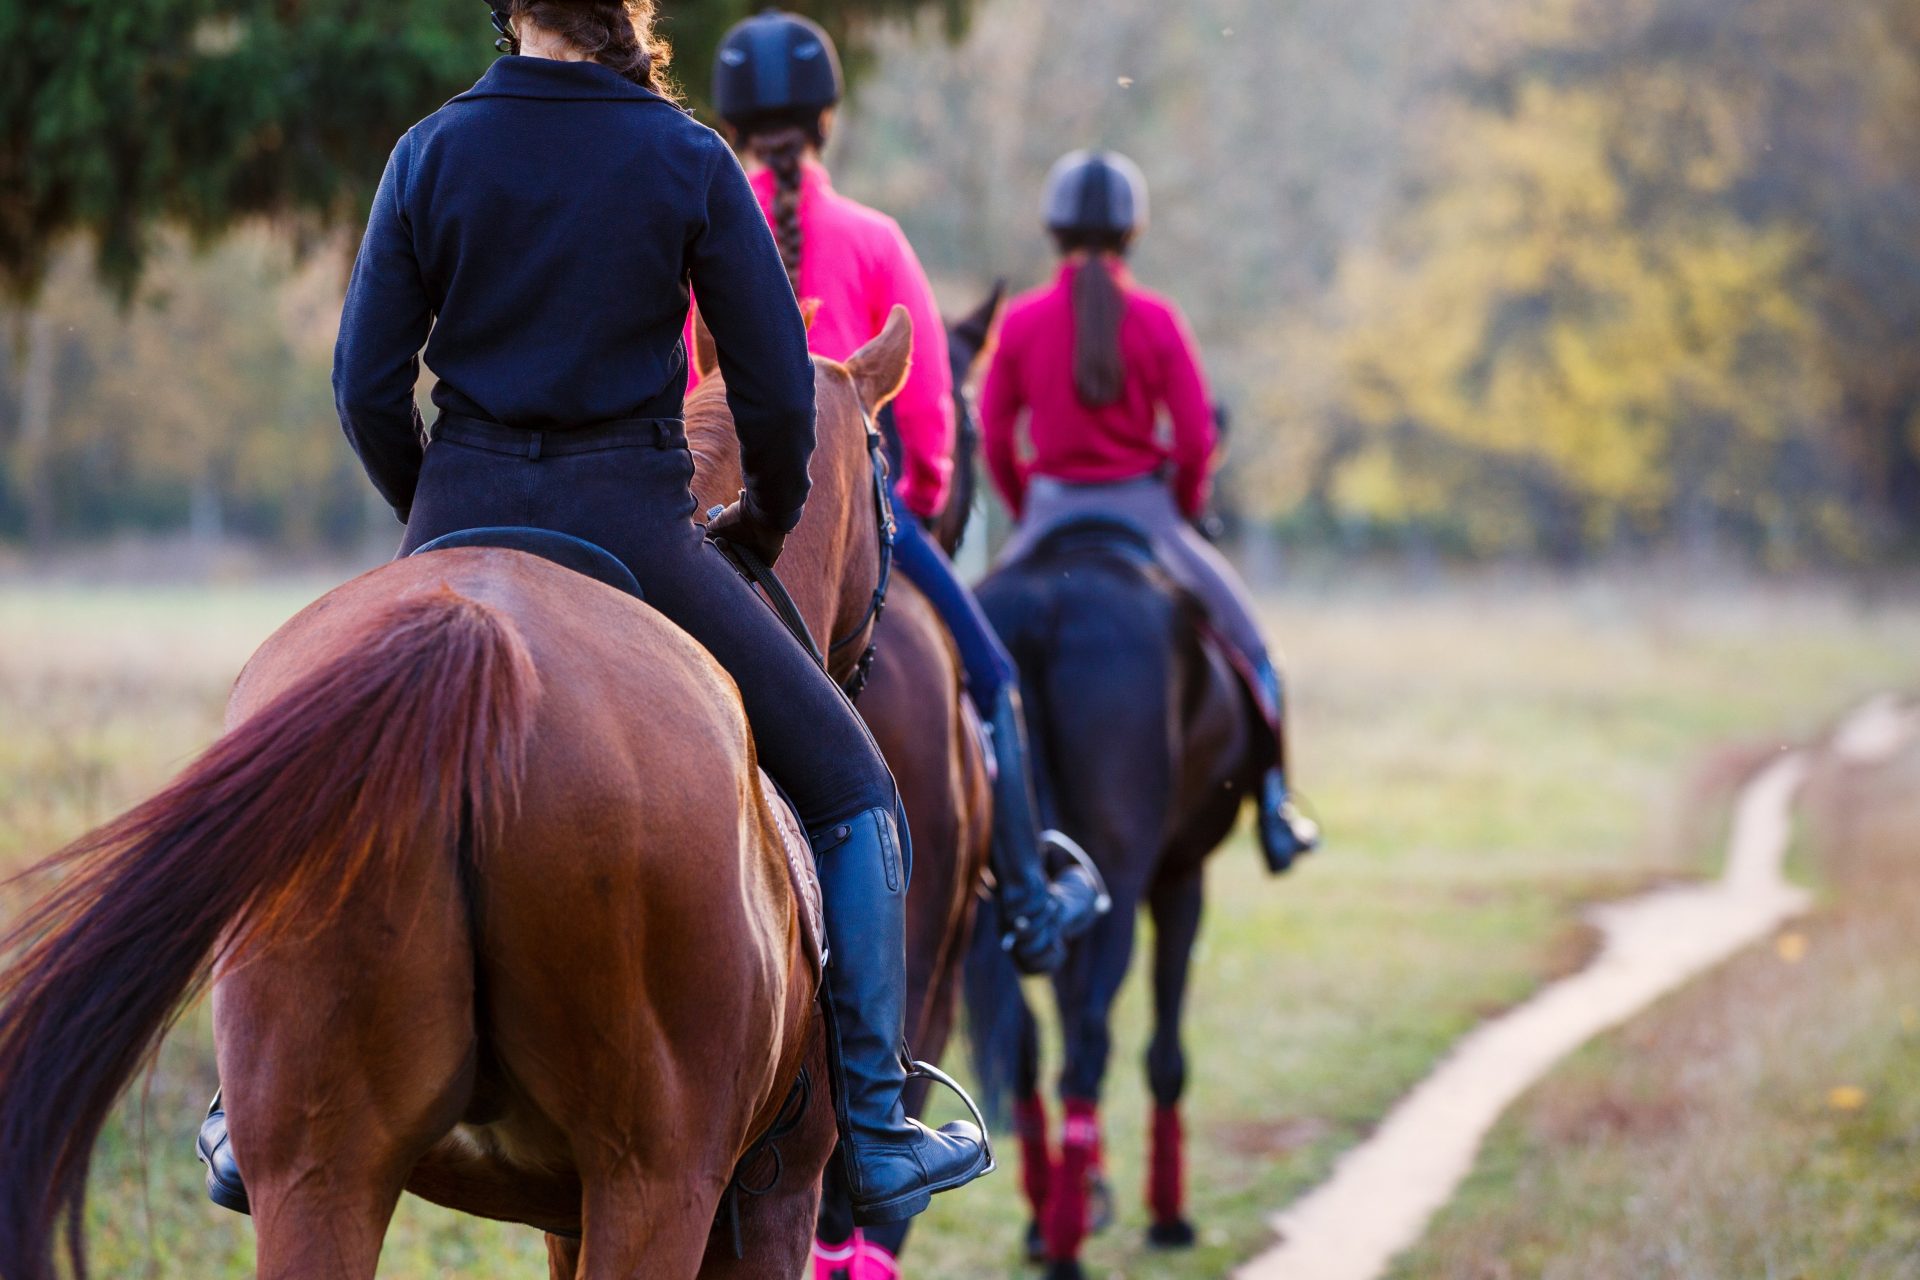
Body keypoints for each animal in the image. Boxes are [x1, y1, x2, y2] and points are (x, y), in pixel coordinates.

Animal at [967, 514, 1267, 1274]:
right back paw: (1071, 1237)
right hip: (1125, 887)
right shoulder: (1182, 879)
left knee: (1028, 1046)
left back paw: (1048, 1217)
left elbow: (1063, 1007)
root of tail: (1044, 602)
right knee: (1087, 1050)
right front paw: (1165, 1216)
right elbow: (1163, 1051)